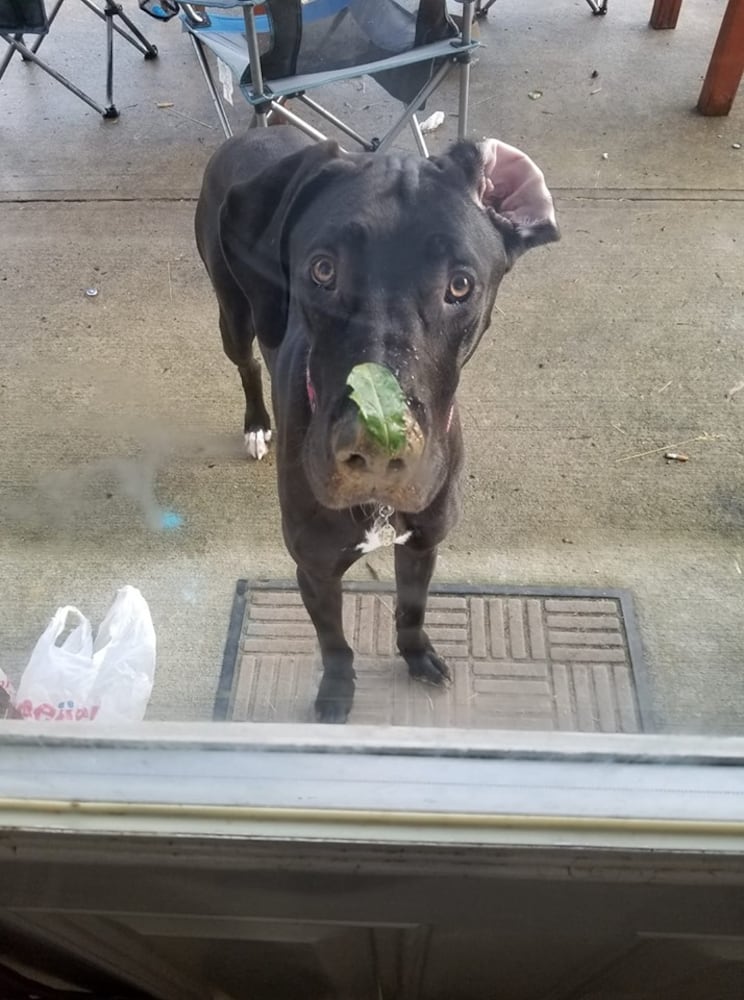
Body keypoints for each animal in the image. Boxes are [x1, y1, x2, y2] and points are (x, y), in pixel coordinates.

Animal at [195, 127, 556, 720]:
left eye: (461, 285)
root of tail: (255, 131)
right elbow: (334, 645)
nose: (379, 452)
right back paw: (256, 423)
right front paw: (337, 695)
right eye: (323, 270)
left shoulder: (423, 545)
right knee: (246, 361)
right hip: (233, 309)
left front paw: (418, 657)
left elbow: (412, 611)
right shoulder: (314, 570)